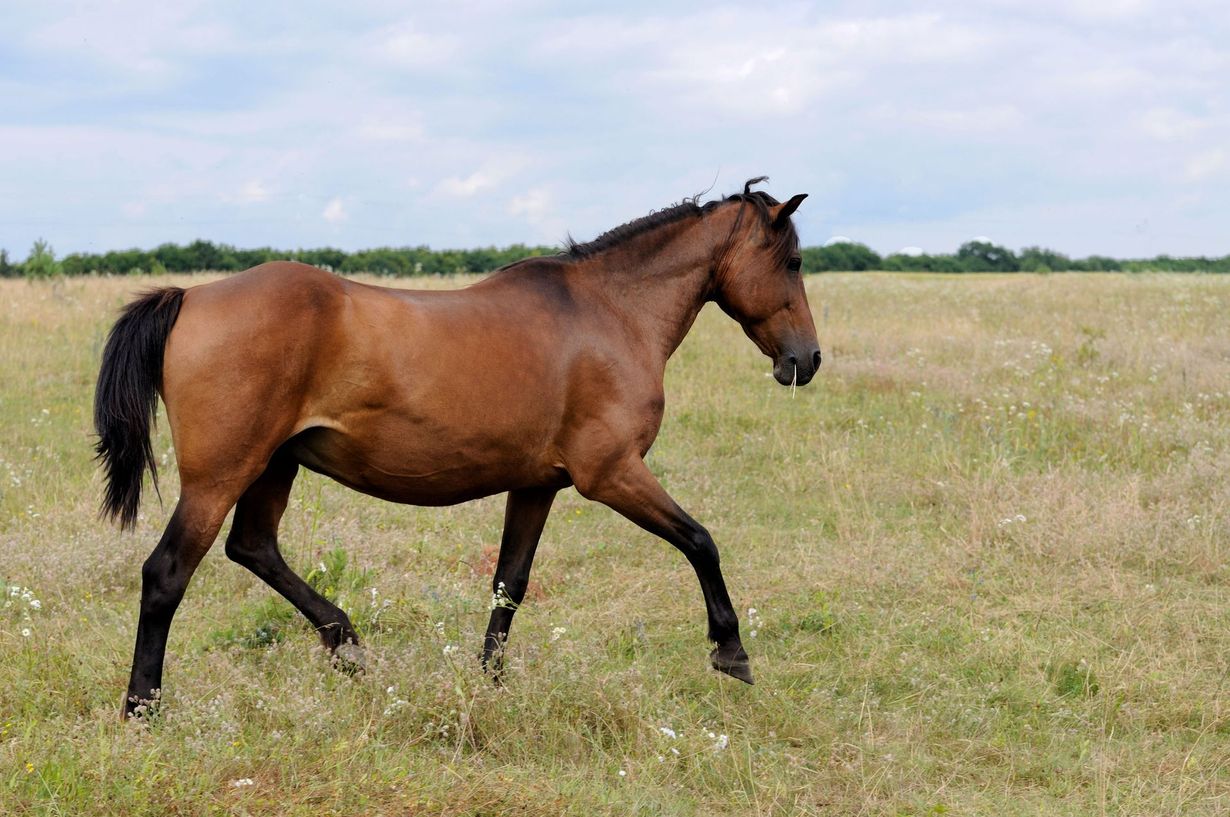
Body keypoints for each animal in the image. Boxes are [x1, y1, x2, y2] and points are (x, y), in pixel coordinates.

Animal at [94, 177, 821, 719]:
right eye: (792, 261)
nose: (807, 359)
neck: (610, 313)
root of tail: (191, 296)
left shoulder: (537, 483)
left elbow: (509, 584)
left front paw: (491, 682)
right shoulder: (611, 473)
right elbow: (701, 541)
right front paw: (731, 651)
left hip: (274, 465)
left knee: (254, 547)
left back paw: (346, 644)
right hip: (220, 476)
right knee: (167, 574)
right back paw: (142, 707)